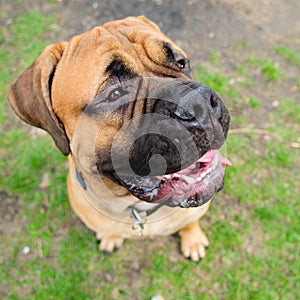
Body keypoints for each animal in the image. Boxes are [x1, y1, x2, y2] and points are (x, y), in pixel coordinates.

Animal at [8, 15, 230, 260]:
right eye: (114, 94)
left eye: (181, 62)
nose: (200, 104)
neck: (137, 210)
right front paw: (110, 238)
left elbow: (190, 222)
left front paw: (193, 238)